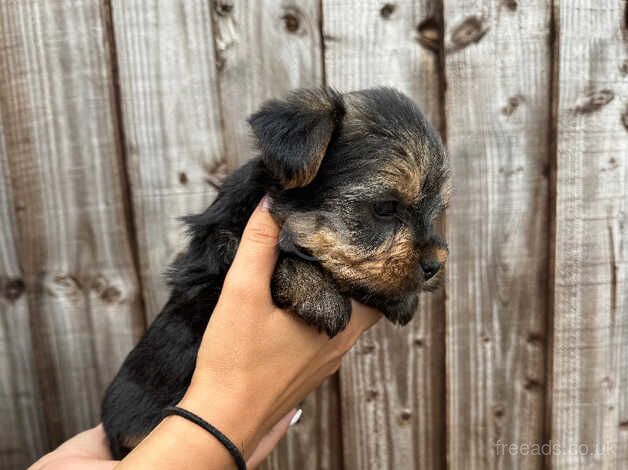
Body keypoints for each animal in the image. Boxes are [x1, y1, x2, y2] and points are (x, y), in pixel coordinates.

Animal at [100, 86, 448, 458]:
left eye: (436, 211)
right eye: (384, 208)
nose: (434, 265)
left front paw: (399, 298)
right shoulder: (220, 254)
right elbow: (280, 256)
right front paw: (317, 292)